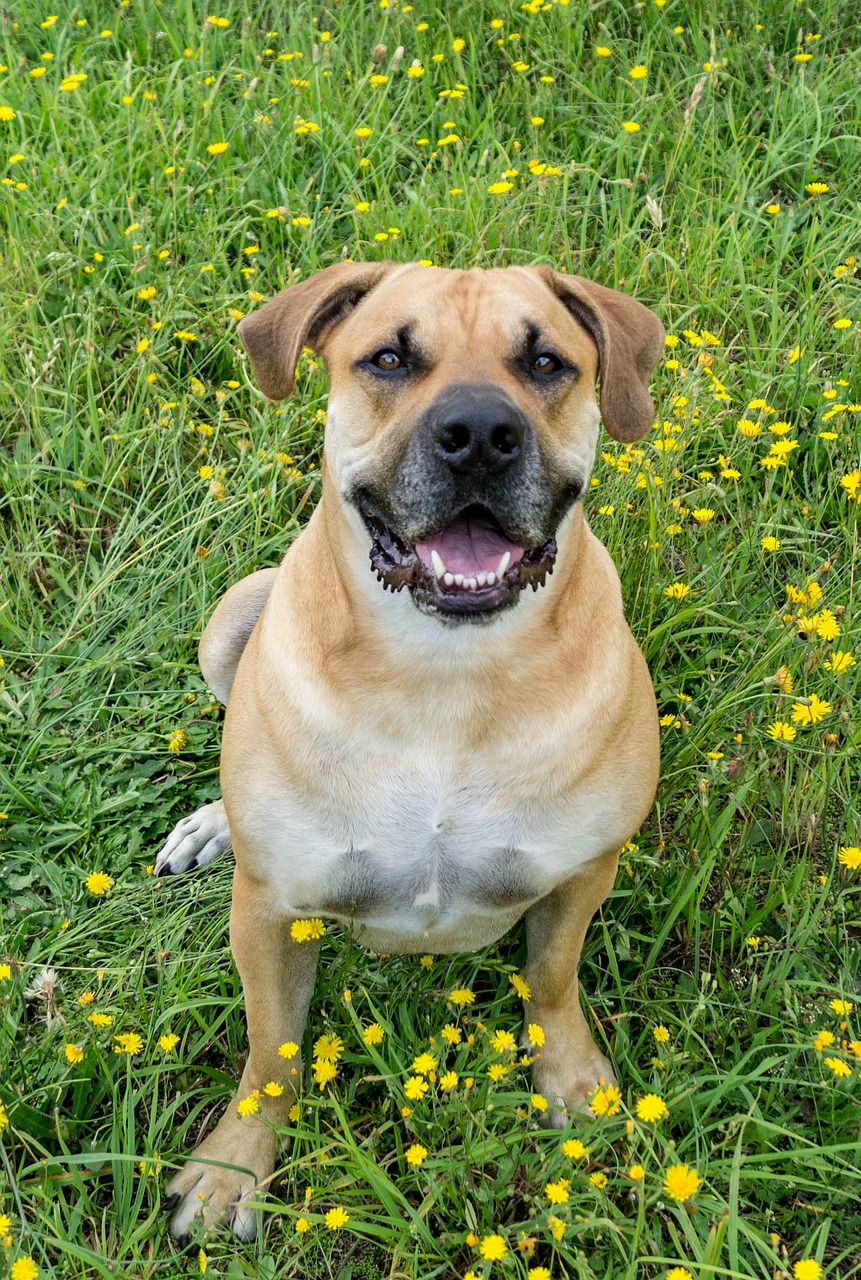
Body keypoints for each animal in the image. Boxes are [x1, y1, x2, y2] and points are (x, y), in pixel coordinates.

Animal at [154, 259, 660, 1239]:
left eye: (545, 360)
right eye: (388, 357)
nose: (480, 437)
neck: (443, 676)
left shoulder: (582, 873)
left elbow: (551, 982)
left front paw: (570, 1085)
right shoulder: (269, 912)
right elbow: (270, 1051)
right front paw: (234, 1167)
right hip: (235, 615)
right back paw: (211, 825)